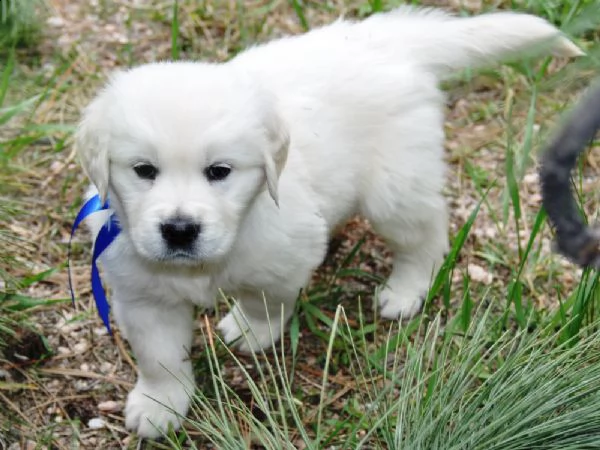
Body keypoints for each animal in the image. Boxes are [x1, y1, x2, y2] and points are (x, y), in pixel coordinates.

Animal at [75, 5, 580, 438]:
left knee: (427, 232)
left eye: (219, 171)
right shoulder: (142, 296)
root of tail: (386, 37)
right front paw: (159, 405)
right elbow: (158, 357)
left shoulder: (286, 257)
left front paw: (251, 329)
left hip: (393, 188)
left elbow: (266, 301)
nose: (180, 230)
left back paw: (406, 290)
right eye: (144, 170)